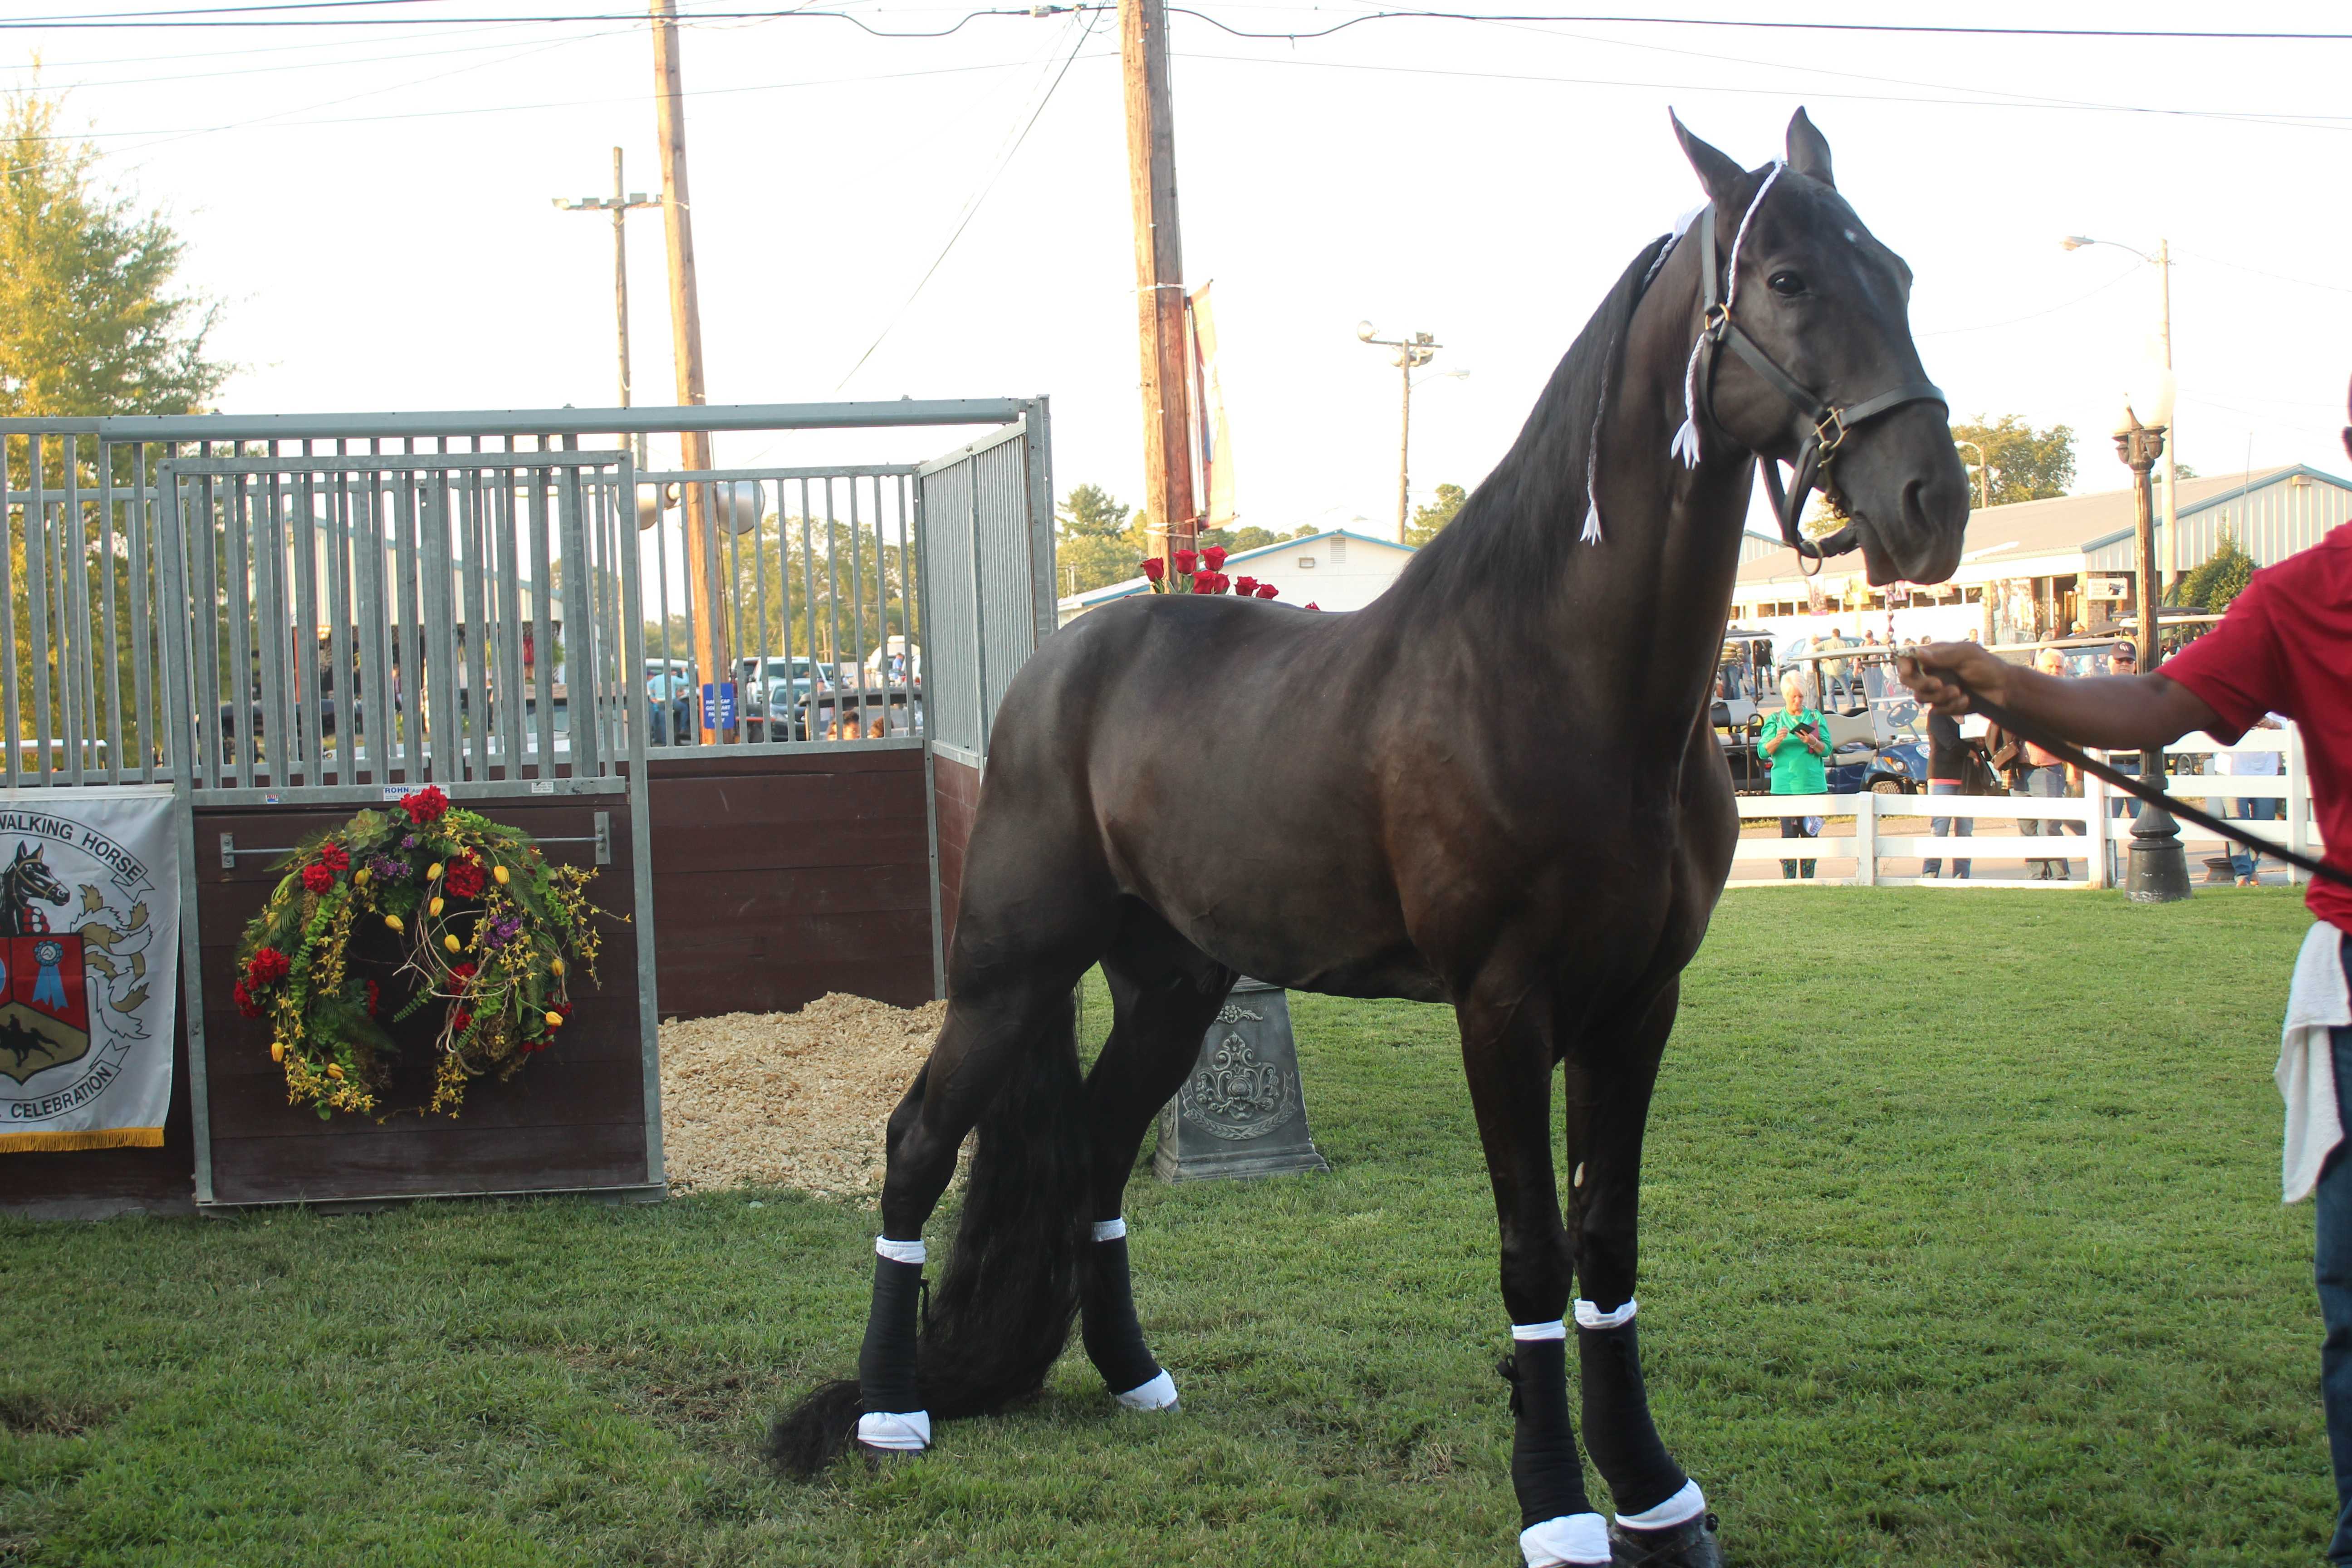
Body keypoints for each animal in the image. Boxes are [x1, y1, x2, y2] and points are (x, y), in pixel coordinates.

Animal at [774, 109, 1970, 1568]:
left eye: (1897, 272)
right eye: (1789, 278)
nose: (1931, 502)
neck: (1569, 684)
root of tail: (1065, 660)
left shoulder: (1637, 1005)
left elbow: (1609, 1250)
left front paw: (1654, 1494)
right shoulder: (1502, 1006)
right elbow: (1533, 1254)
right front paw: (1557, 1505)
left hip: (1174, 987)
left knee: (1098, 1157)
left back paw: (1134, 1375)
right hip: (1014, 971)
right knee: (917, 1142)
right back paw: (892, 1412)